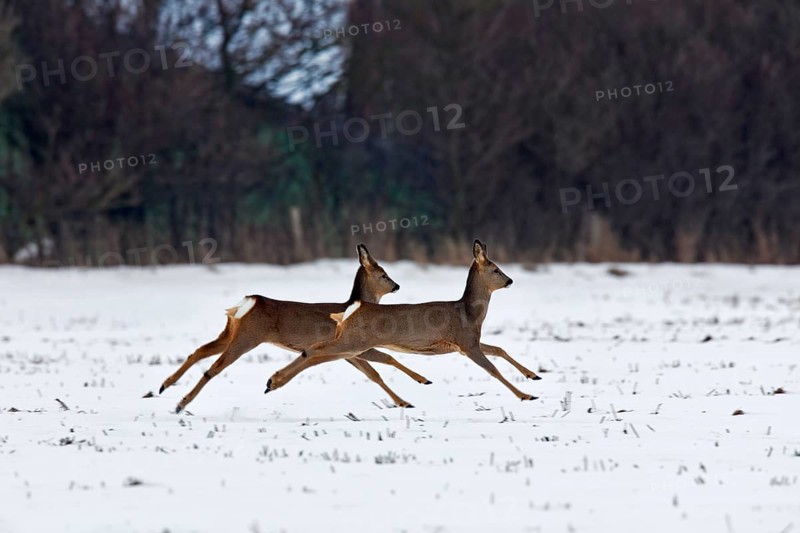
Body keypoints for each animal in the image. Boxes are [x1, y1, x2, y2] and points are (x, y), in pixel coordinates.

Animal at [159, 244, 432, 413]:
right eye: (384, 274)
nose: (397, 285)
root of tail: (249, 301)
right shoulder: (354, 347)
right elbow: (385, 361)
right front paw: (421, 382)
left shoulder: (349, 353)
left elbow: (374, 374)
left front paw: (404, 401)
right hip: (247, 337)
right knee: (212, 368)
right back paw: (181, 404)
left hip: (230, 332)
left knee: (198, 351)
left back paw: (164, 386)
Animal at [265, 240, 541, 402]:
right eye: (496, 269)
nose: (510, 280)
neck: (470, 313)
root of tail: (355, 308)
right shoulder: (467, 342)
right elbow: (492, 369)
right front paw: (526, 395)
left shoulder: (465, 343)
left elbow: (499, 349)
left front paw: (533, 375)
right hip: (354, 341)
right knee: (314, 351)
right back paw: (274, 381)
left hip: (352, 344)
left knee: (315, 352)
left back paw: (273, 381)